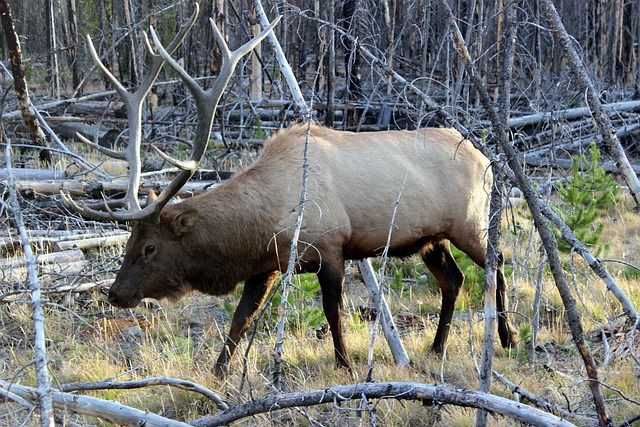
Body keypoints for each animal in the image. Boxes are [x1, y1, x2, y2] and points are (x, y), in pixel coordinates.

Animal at [64, 5, 516, 378]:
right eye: (128, 243)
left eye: (150, 247)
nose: (115, 293)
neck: (261, 223)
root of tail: (486, 157)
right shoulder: (266, 264)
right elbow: (241, 317)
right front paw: (218, 372)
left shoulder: (330, 246)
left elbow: (333, 312)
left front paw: (345, 364)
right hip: (431, 237)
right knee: (454, 280)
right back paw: (437, 348)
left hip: (471, 222)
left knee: (497, 267)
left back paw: (507, 339)